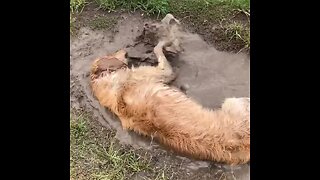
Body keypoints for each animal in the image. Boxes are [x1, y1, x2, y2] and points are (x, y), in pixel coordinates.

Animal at [89, 14, 250, 165]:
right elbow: (158, 50)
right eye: (111, 54)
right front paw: (164, 42)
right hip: (232, 101)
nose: (126, 51)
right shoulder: (163, 72)